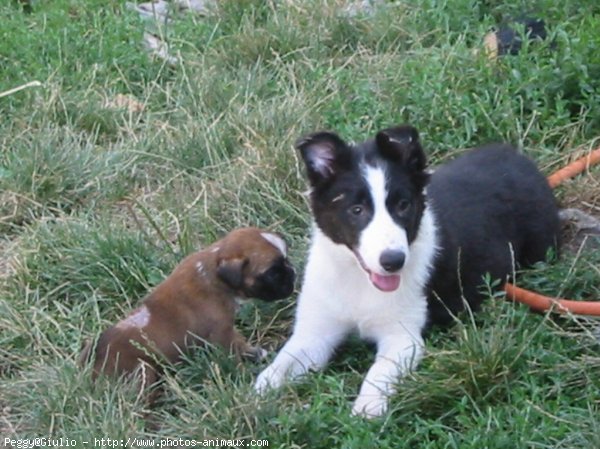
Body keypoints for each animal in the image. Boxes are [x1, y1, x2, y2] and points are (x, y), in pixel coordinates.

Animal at [79, 226, 296, 386]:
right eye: (273, 273)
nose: (293, 274)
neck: (213, 273)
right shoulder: (222, 334)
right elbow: (235, 350)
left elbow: (241, 343)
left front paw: (255, 353)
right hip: (143, 372)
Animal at [255, 125, 560, 416]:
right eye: (356, 210)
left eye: (403, 205)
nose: (394, 261)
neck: (359, 281)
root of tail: (519, 159)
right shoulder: (314, 333)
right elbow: (279, 367)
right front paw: (257, 399)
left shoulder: (402, 337)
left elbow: (378, 372)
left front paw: (366, 411)